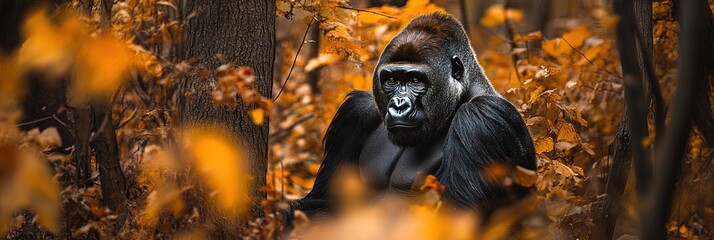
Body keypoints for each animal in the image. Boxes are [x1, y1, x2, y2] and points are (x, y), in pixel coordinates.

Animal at [290, 12, 536, 219]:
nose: (399, 105)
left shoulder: (481, 118)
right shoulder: (355, 111)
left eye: (416, 80)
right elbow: (322, 201)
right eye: (391, 80)